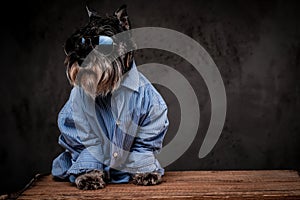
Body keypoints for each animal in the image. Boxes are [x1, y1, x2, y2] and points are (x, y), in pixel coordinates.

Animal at [51, 4, 169, 189]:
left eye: (103, 42)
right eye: (78, 42)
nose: (80, 59)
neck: (110, 88)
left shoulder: (151, 117)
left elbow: (143, 148)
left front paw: (146, 173)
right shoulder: (79, 124)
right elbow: (88, 149)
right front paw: (89, 176)